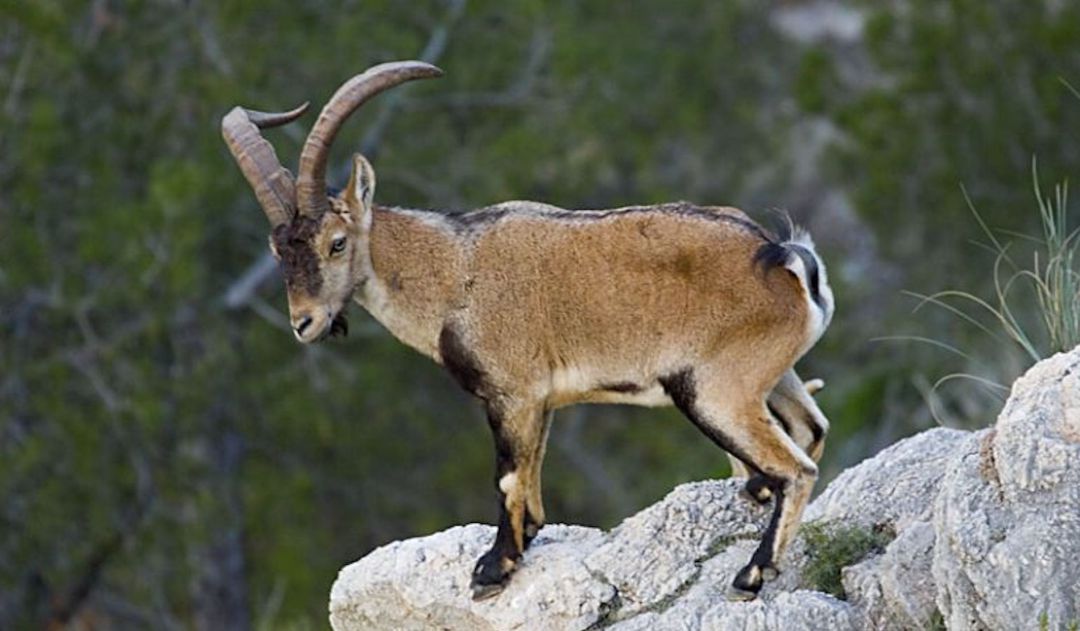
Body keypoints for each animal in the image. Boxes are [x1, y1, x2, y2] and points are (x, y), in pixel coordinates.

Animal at [221, 61, 834, 601]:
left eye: (336, 243)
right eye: (277, 251)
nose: (305, 323)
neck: (451, 271)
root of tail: (782, 257)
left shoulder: (511, 393)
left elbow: (509, 478)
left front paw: (492, 571)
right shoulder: (540, 400)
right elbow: (533, 477)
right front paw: (521, 546)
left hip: (715, 391)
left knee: (796, 468)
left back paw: (750, 575)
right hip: (772, 376)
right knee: (811, 428)